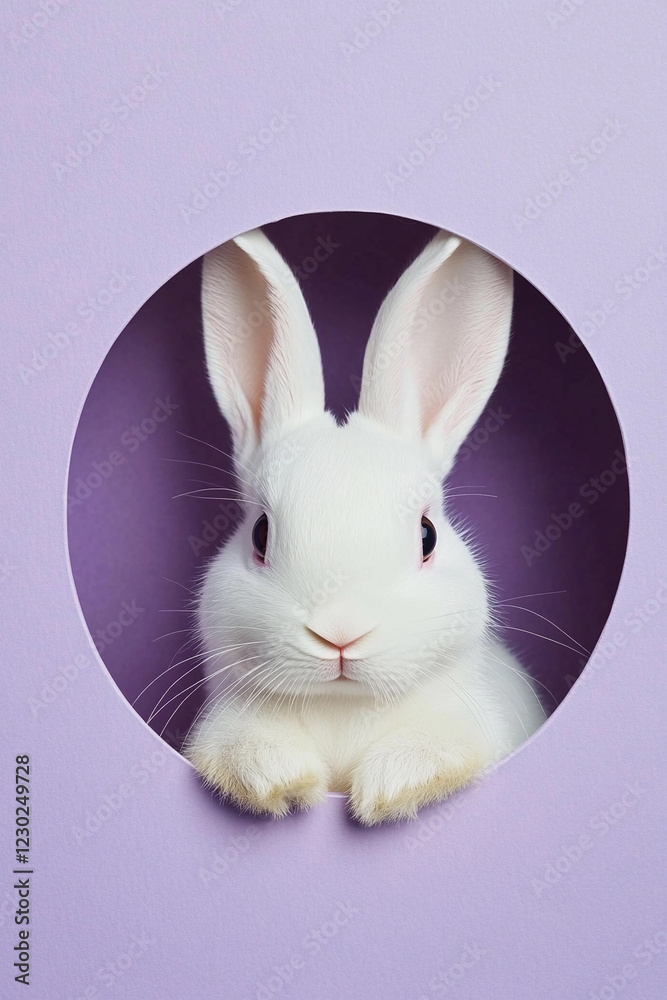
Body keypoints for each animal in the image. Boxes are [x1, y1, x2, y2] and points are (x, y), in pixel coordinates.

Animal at [184, 225, 546, 826]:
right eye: (260, 534)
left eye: (427, 535)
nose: (340, 635)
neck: (343, 707)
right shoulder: (229, 727)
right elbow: (249, 754)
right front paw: (289, 785)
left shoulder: (466, 730)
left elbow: (433, 754)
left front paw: (386, 789)